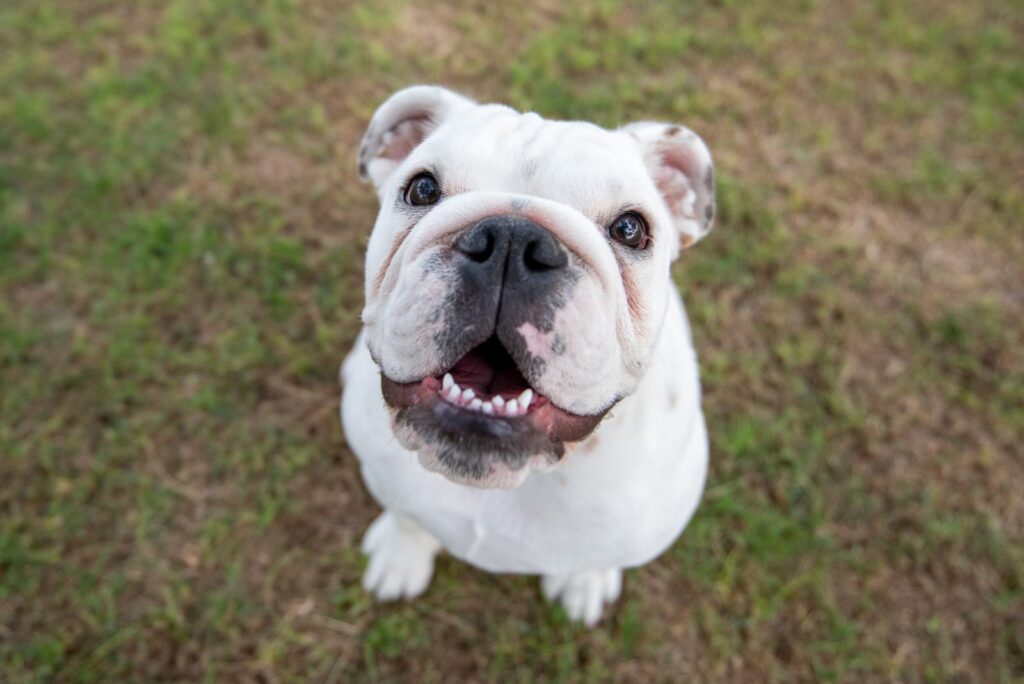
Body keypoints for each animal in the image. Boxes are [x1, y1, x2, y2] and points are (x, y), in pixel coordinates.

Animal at [339, 85, 716, 626]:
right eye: (422, 189)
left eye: (630, 229)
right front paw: (400, 554)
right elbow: (407, 516)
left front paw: (585, 581)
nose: (511, 239)